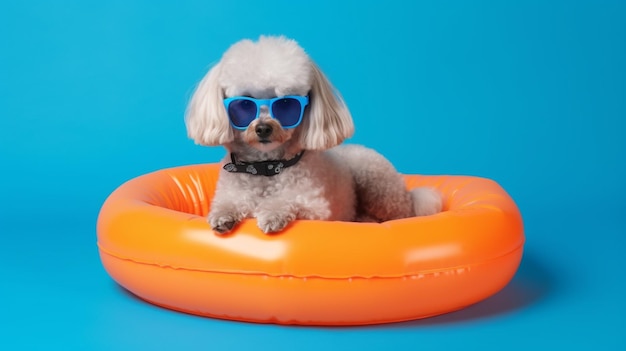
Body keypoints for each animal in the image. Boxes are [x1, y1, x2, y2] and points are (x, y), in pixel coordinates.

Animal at [185, 35, 438, 235]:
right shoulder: (231, 191)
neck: (266, 167)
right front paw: (224, 215)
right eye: (244, 104)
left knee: (400, 214)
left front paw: (272, 213)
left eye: (286, 103)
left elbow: (288, 200)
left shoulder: (314, 208)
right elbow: (230, 202)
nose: (264, 128)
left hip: (377, 183)